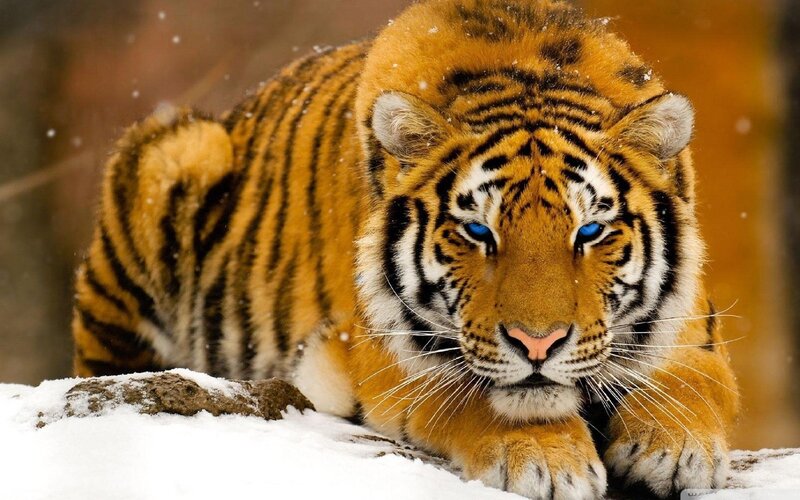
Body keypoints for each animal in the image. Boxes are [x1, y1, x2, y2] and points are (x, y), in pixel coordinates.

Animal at [71, 0, 739, 498]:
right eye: (478, 232)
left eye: (589, 232)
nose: (538, 344)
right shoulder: (380, 350)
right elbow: (474, 393)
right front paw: (547, 460)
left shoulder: (694, 330)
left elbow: (693, 383)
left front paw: (675, 449)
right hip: (176, 155)